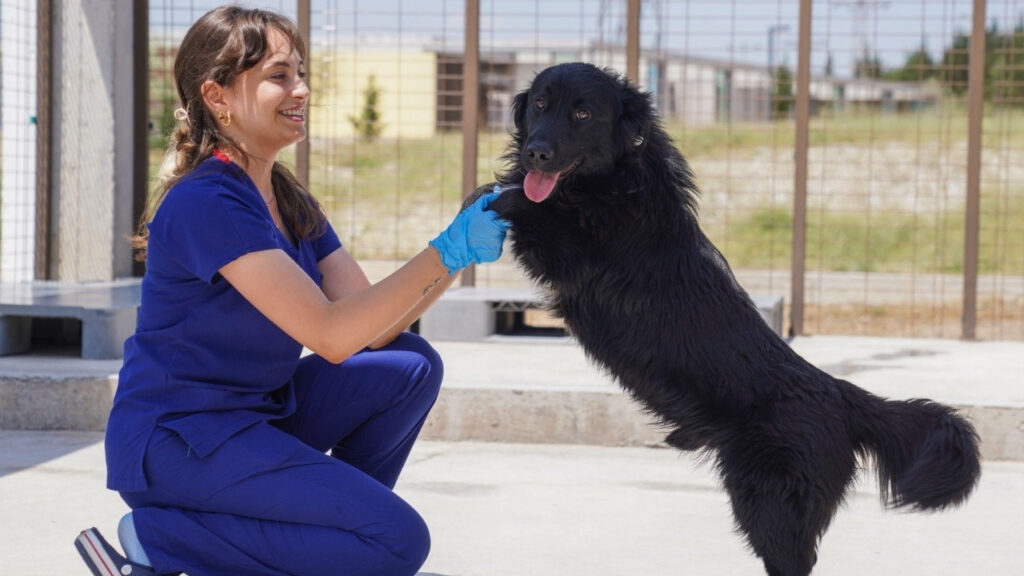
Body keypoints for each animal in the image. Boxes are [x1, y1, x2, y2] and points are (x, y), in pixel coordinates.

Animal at [468, 60, 978, 569]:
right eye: (540, 104)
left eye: (583, 113)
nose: (536, 153)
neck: (616, 179)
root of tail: (840, 394)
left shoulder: (575, 255)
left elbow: (527, 209)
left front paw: (496, 201)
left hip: (770, 503)